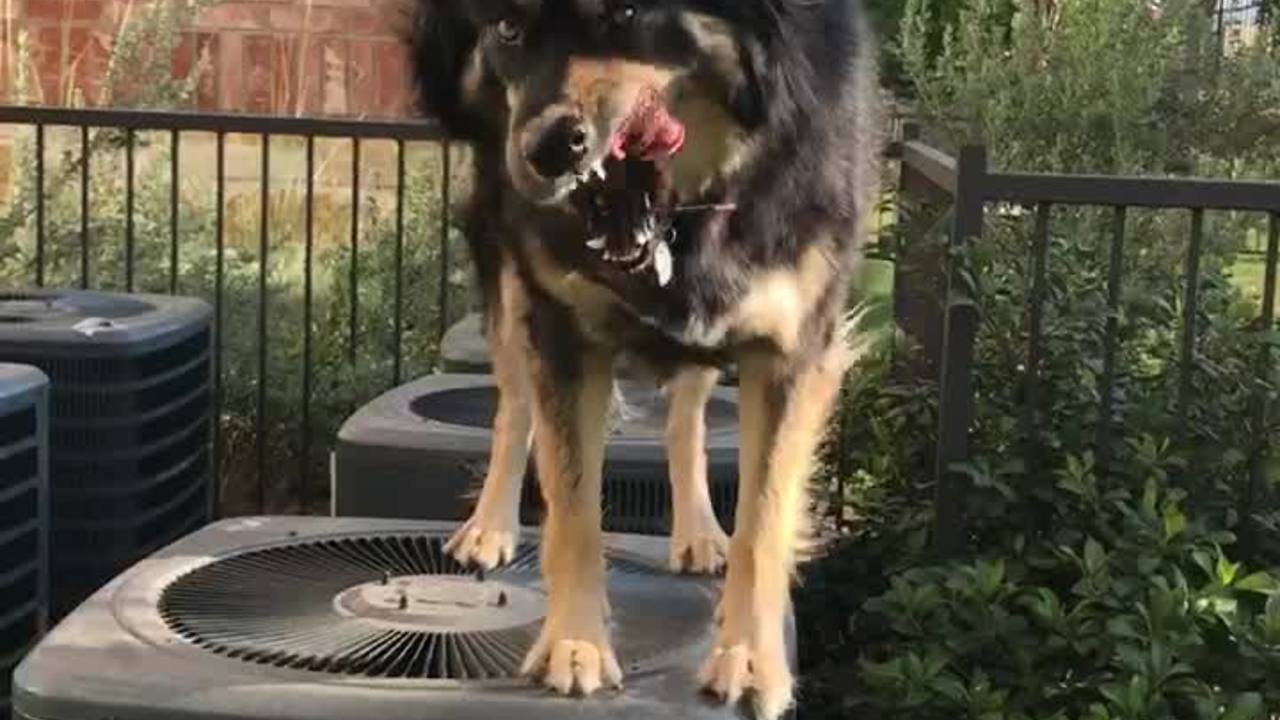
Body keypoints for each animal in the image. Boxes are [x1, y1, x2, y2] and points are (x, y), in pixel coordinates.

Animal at [407, 2, 880, 712]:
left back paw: (700, 531)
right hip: (508, 277)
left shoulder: (792, 353)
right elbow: (574, 505)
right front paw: (574, 642)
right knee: (515, 403)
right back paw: (490, 525)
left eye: (627, 13)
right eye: (509, 30)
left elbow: (764, 520)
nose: (545, 150)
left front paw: (749, 658)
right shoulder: (561, 330)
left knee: (686, 416)